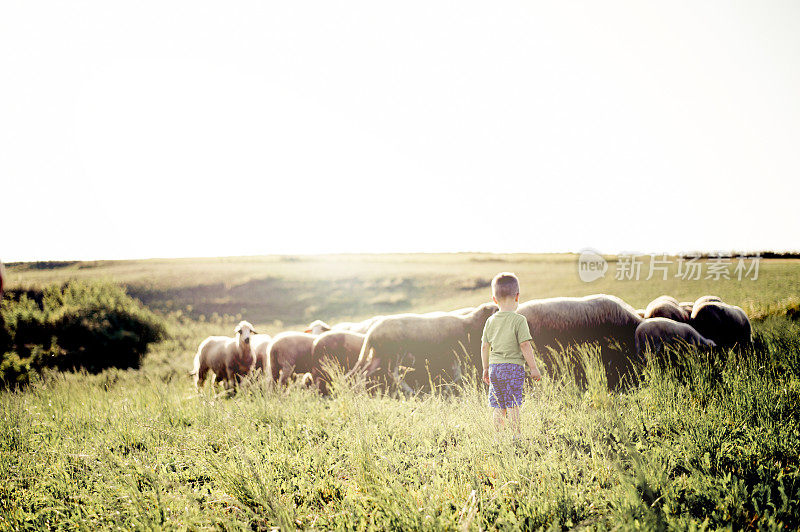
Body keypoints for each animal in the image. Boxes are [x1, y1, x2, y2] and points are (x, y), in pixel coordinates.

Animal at [352, 304, 496, 390]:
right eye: (496, 310)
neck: (468, 324)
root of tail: (371, 332)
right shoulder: (454, 352)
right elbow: (457, 374)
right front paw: (450, 387)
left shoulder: (454, 355)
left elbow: (457, 373)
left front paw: (451, 386)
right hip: (396, 352)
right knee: (393, 373)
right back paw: (409, 391)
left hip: (379, 354)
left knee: (364, 372)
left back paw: (361, 390)